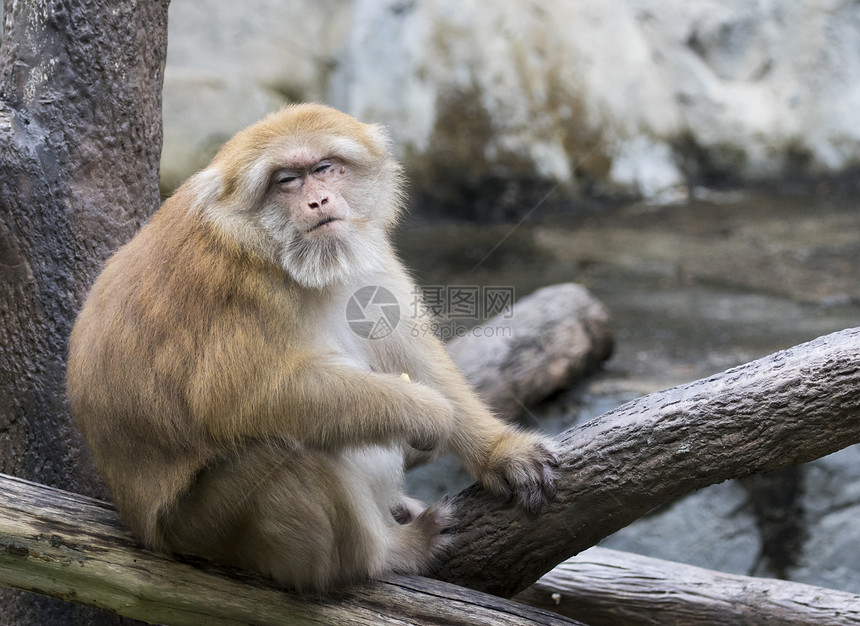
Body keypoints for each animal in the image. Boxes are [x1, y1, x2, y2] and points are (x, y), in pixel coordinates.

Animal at [70, 102, 560, 588]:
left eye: (325, 168)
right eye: (286, 180)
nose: (318, 201)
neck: (276, 253)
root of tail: (144, 529)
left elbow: (407, 347)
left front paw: (500, 451)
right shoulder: (240, 288)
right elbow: (238, 398)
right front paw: (425, 410)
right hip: (202, 529)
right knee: (286, 448)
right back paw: (384, 555)